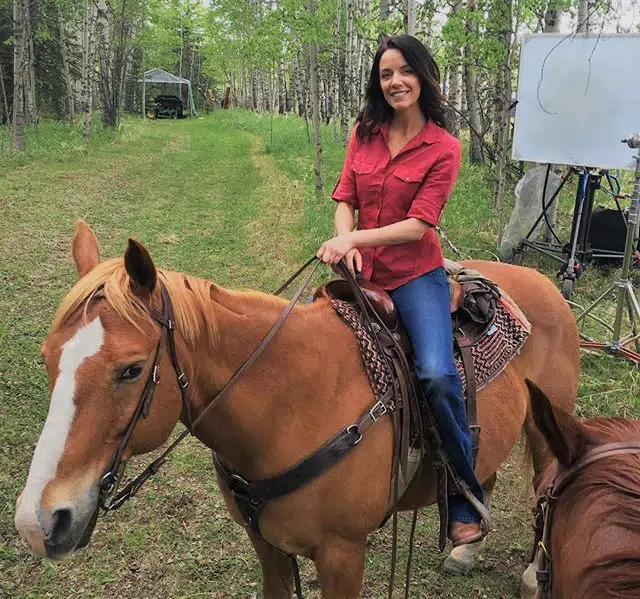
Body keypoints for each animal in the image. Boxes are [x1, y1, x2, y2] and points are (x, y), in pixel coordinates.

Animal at [16, 223, 580, 596]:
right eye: (46, 357)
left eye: (131, 369)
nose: (37, 523)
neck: (288, 407)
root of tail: (544, 282)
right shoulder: (266, 547)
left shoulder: (342, 555)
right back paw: (466, 544)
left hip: (545, 427)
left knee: (547, 486)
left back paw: (532, 576)